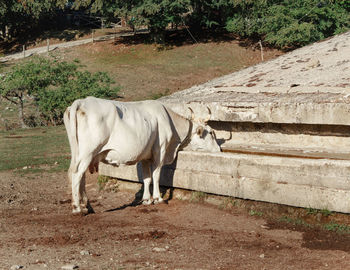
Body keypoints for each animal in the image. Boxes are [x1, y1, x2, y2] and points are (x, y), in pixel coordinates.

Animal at [64, 96, 220, 214]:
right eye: (211, 133)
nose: (219, 149)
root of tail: (81, 101)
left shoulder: (145, 155)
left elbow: (146, 178)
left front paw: (146, 199)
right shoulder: (160, 151)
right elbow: (156, 175)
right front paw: (157, 198)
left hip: (79, 153)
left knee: (79, 176)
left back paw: (87, 206)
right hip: (88, 152)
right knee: (77, 175)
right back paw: (77, 208)